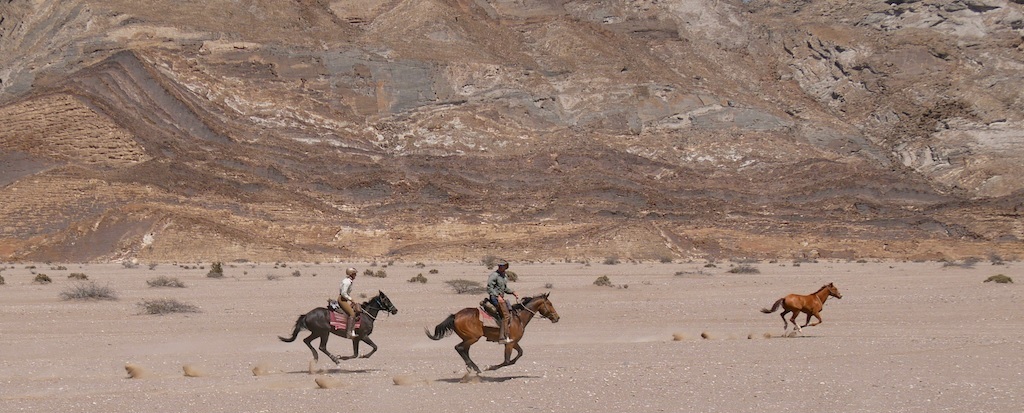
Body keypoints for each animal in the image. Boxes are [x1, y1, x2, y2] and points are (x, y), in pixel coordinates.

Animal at [428, 295, 565, 375]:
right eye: (550, 304)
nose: (557, 317)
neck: (519, 317)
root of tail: (455, 316)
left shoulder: (513, 342)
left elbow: (519, 354)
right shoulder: (509, 343)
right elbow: (506, 361)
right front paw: (490, 367)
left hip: (468, 338)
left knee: (464, 350)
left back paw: (472, 367)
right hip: (473, 338)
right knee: (459, 348)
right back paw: (475, 368)